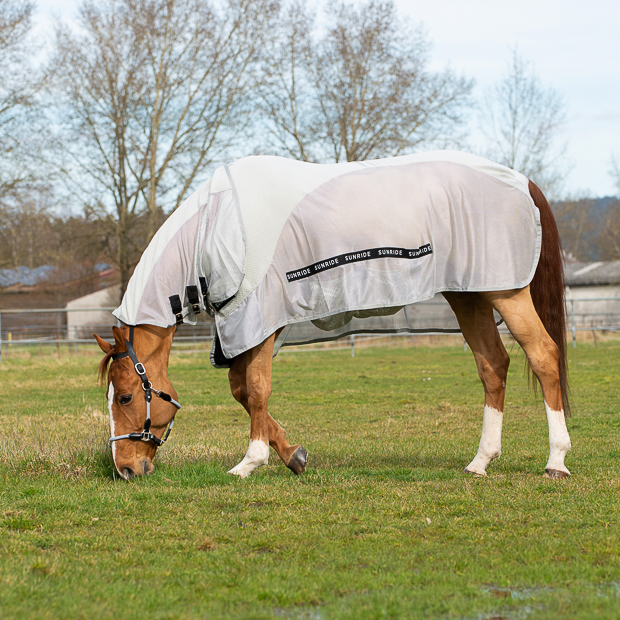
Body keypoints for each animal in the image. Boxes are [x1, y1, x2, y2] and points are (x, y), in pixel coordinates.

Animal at [95, 150, 572, 480]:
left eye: (125, 397)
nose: (125, 468)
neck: (216, 227)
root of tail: (522, 181)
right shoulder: (246, 329)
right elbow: (243, 392)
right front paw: (294, 456)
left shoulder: (258, 319)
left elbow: (256, 389)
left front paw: (250, 462)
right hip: (468, 296)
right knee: (494, 365)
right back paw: (480, 462)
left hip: (506, 293)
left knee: (543, 356)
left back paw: (556, 462)